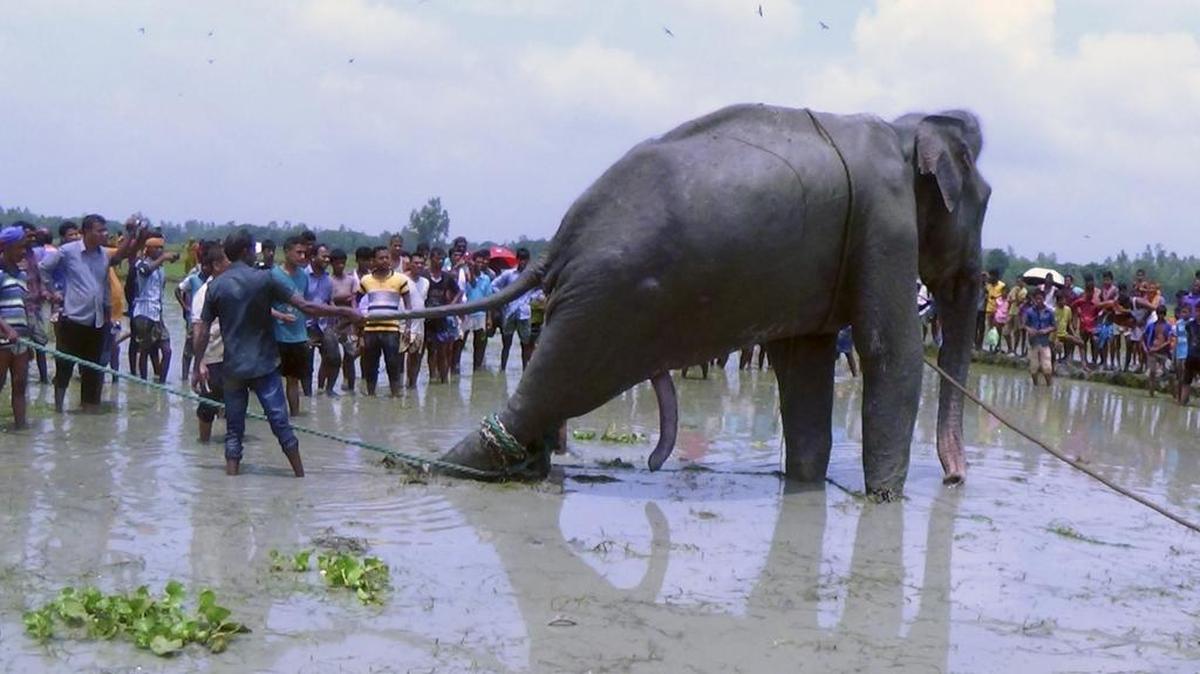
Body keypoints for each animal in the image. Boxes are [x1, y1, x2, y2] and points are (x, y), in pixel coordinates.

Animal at [399, 103, 989, 499]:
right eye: (984, 201)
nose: (956, 479)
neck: (904, 128)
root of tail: (560, 241)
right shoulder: (885, 227)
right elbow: (891, 351)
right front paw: (885, 500)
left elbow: (804, 362)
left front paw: (805, 485)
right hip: (610, 301)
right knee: (556, 385)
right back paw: (445, 470)